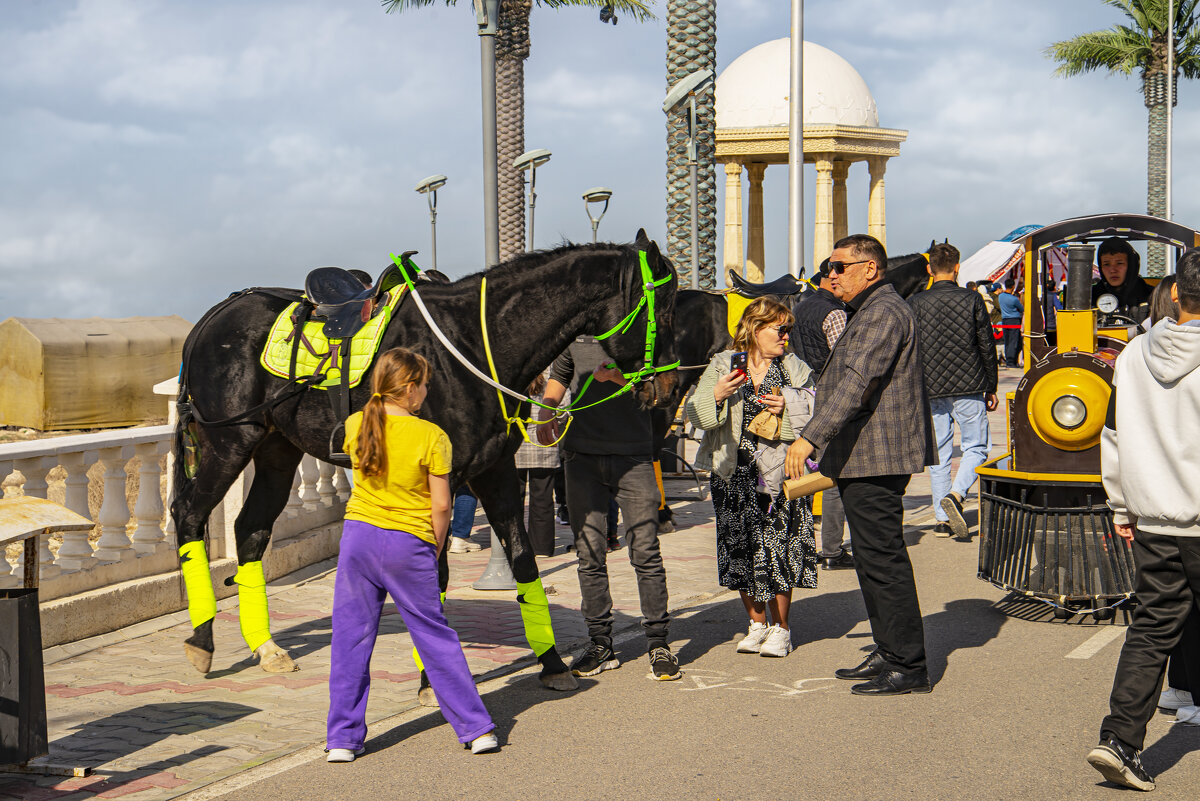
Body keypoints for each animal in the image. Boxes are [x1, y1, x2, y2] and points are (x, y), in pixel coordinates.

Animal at [171, 232, 676, 695]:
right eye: (666, 308)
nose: (668, 388)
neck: (472, 342)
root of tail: (215, 314)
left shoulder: (494, 471)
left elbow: (523, 560)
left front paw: (551, 662)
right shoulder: (445, 480)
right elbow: (435, 576)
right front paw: (432, 680)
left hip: (277, 450)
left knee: (250, 531)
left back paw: (265, 646)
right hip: (230, 440)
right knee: (189, 515)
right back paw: (202, 640)